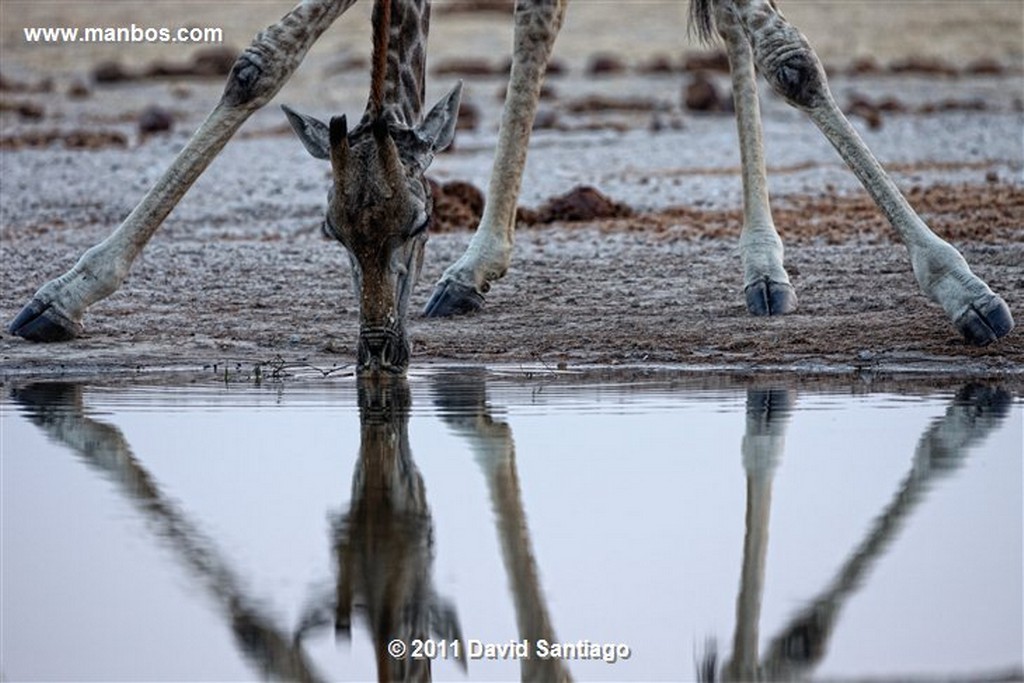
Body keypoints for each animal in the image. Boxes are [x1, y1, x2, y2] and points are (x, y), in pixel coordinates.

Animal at [9, 0, 1015, 370]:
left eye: (418, 224)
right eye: (332, 232)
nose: (379, 351)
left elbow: (793, 57)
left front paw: (964, 289)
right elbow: (261, 62)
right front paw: (63, 294)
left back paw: (764, 267)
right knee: (548, 17)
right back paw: (480, 270)